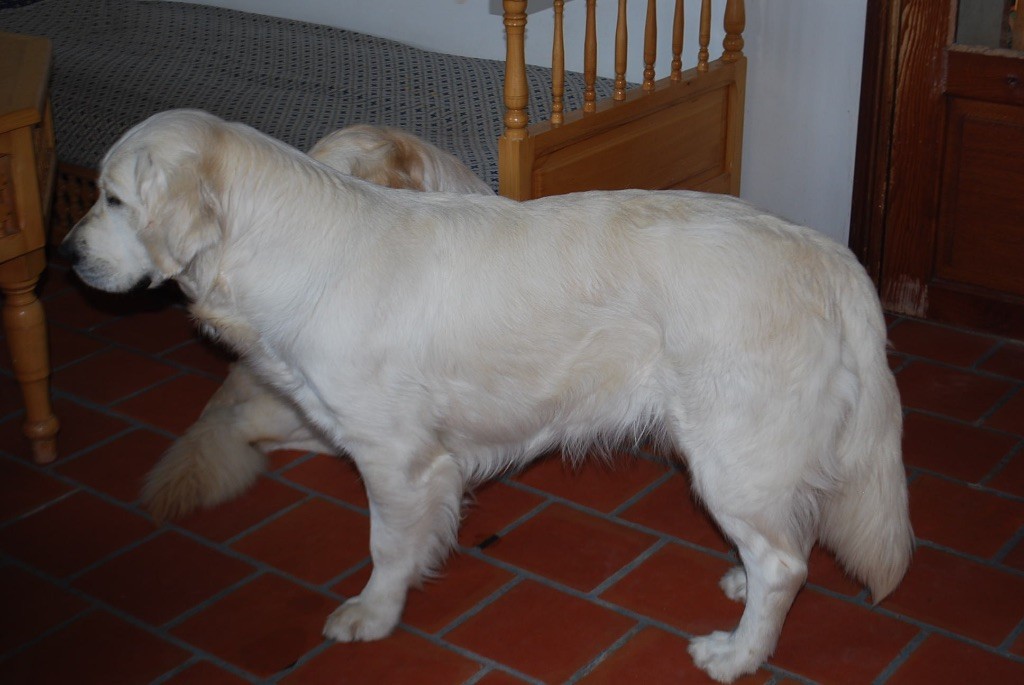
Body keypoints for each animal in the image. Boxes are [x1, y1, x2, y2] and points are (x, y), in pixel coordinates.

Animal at [61, 109, 913, 679]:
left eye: (113, 199)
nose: (64, 254)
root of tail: (826, 251)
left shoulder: (396, 456)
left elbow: (385, 545)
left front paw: (373, 613)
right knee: (784, 536)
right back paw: (738, 583)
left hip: (730, 450)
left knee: (785, 563)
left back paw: (736, 652)